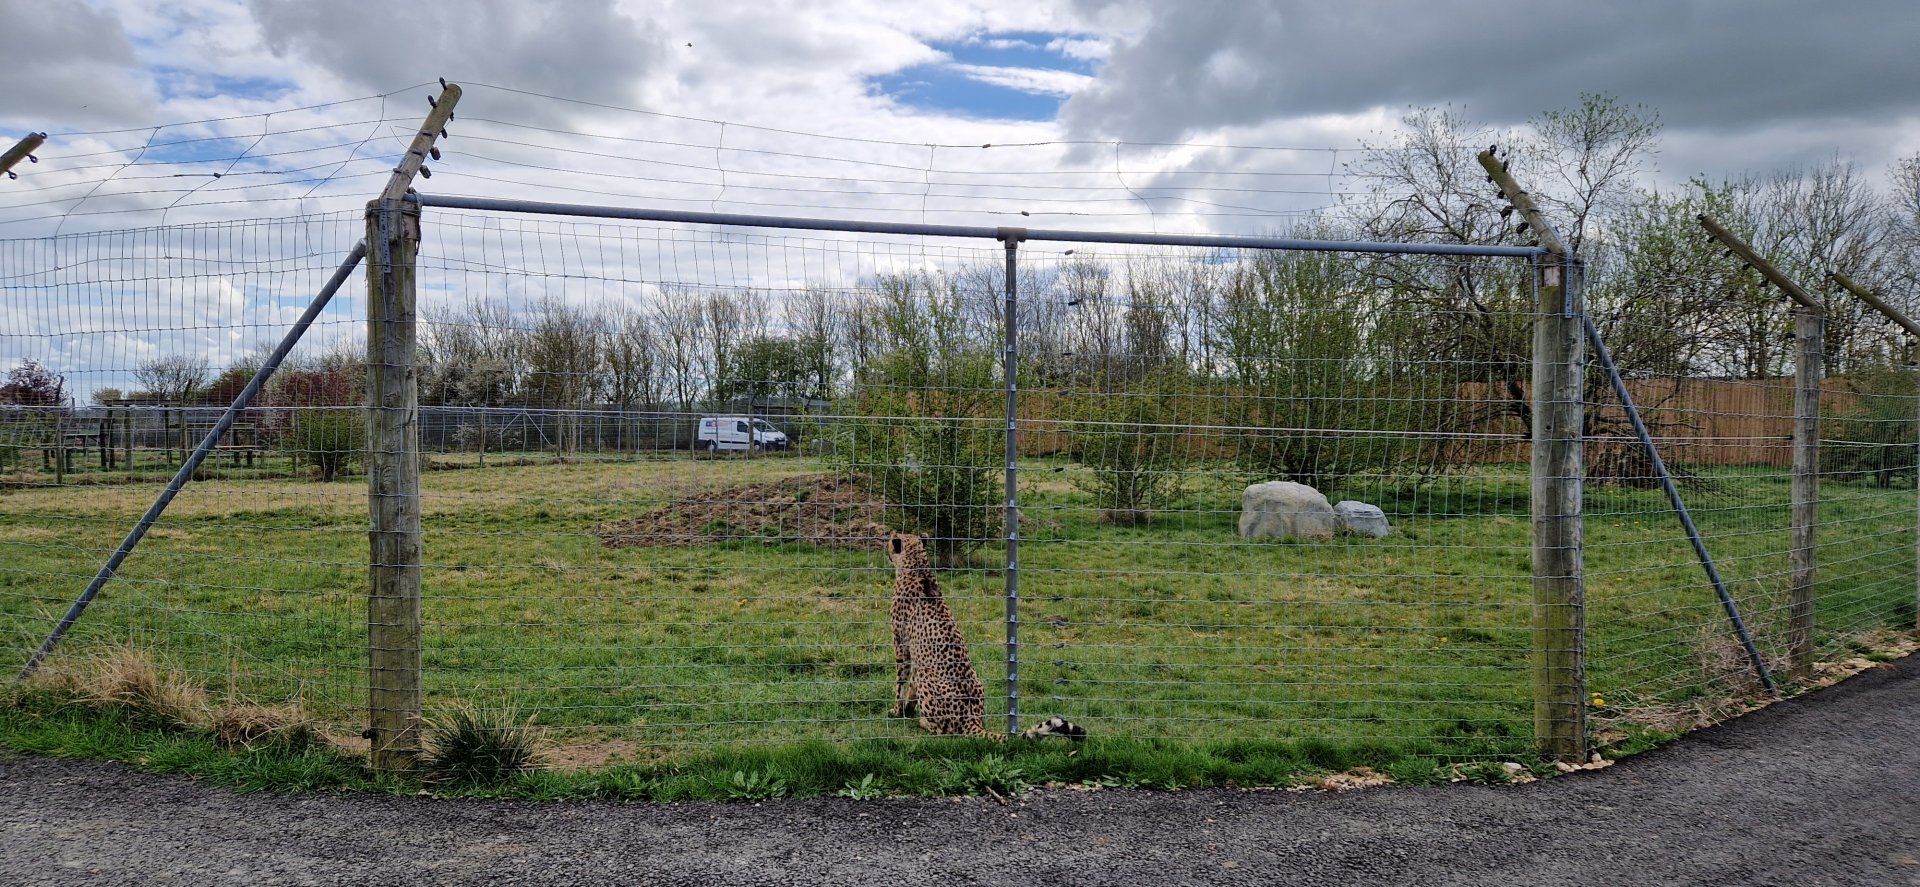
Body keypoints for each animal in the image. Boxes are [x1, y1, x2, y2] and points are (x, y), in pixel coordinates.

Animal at [885, 532, 1085, 742]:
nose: (887, 549)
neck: (917, 566)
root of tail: (972, 721)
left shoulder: (901, 646)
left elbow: (900, 682)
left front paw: (897, 711)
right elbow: (909, 688)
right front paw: (907, 709)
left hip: (927, 677)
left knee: (945, 730)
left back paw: (924, 723)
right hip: (975, 681)